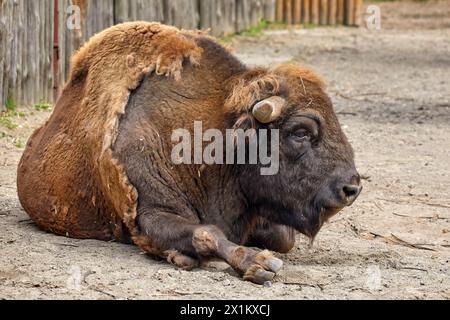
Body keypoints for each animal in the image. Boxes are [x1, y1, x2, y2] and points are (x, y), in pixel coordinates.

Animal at [17, 22, 362, 284]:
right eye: (300, 132)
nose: (352, 187)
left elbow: (284, 239)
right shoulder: (151, 213)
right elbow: (206, 233)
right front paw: (258, 264)